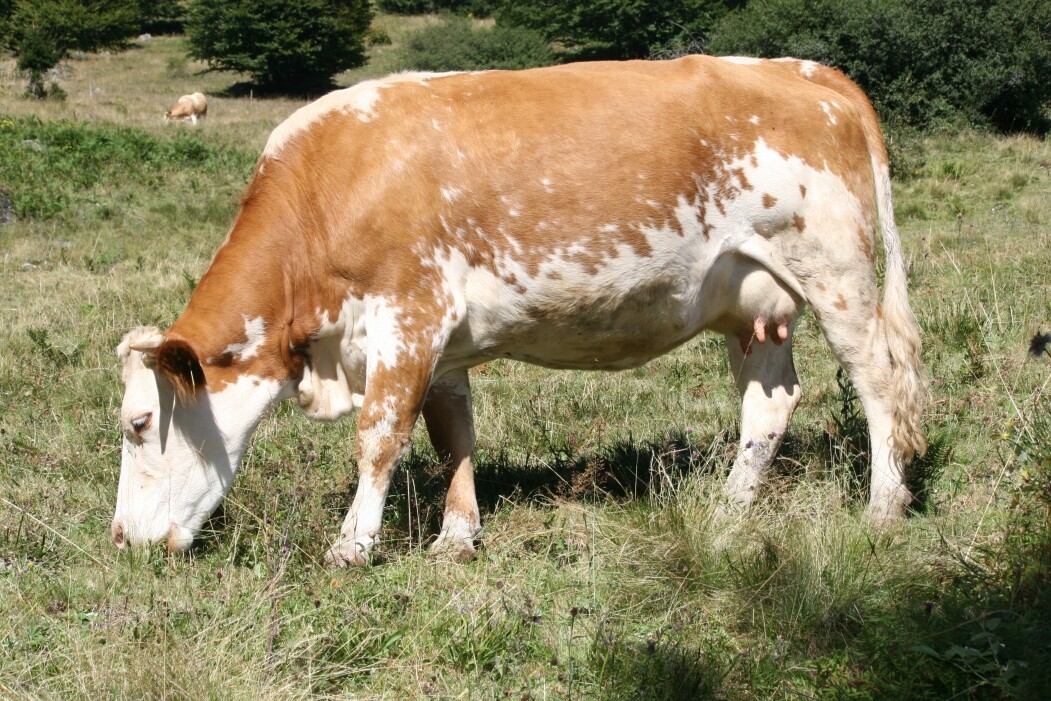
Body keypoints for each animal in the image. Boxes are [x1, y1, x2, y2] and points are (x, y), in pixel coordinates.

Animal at [113, 56, 927, 565]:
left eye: (140, 423)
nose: (120, 540)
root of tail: (804, 69)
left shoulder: (408, 315)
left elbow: (377, 438)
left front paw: (352, 544)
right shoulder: (441, 346)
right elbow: (452, 438)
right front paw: (456, 537)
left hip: (837, 274)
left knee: (881, 383)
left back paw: (883, 507)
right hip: (753, 301)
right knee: (771, 400)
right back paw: (731, 506)